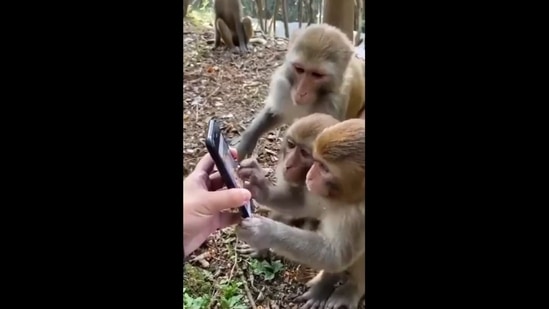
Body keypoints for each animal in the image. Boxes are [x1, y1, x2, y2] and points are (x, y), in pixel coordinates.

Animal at [234, 22, 364, 160]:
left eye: (317, 75)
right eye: (299, 69)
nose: (301, 92)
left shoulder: (332, 105)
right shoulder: (284, 87)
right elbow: (276, 114)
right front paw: (246, 142)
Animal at [234, 112, 338, 258]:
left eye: (304, 153)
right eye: (291, 144)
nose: (288, 164)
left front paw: (261, 235)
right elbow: (295, 202)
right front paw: (259, 185)